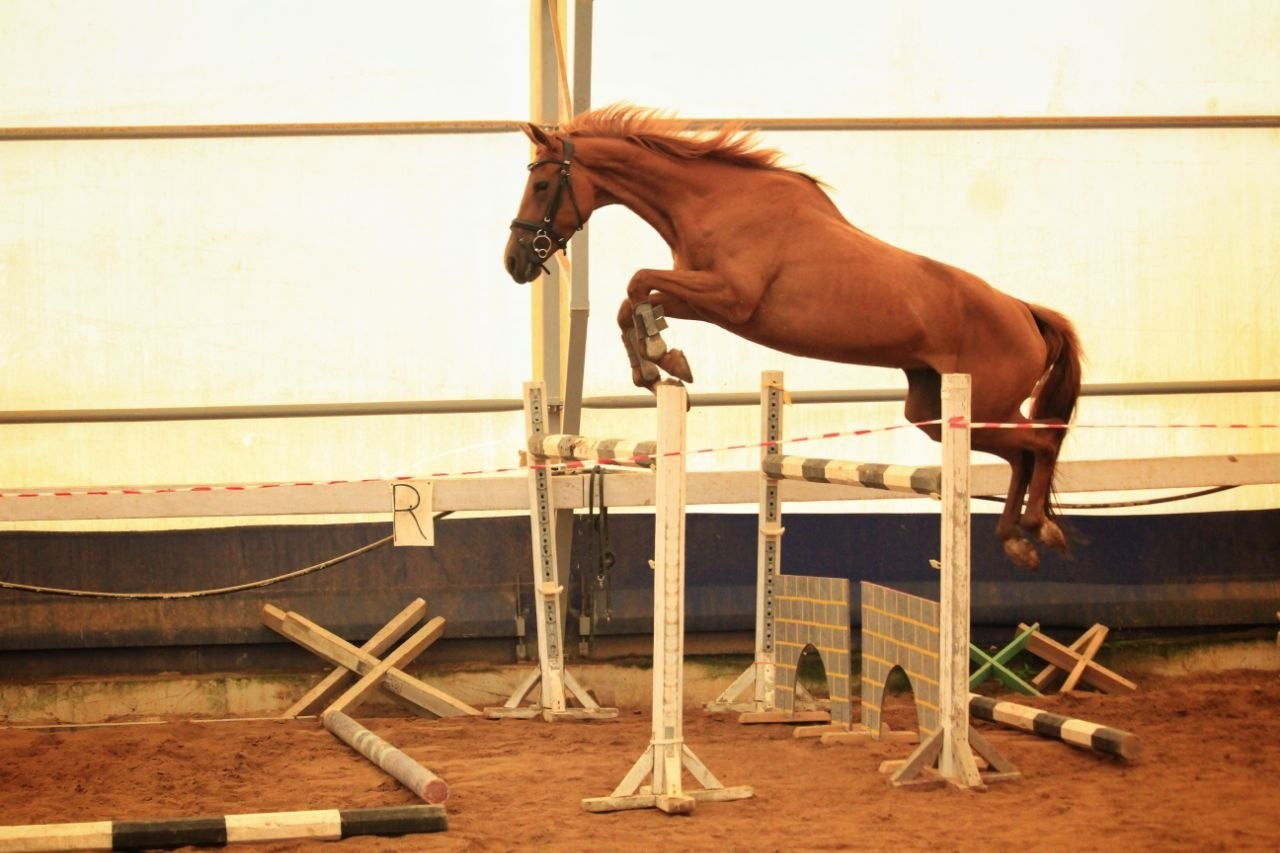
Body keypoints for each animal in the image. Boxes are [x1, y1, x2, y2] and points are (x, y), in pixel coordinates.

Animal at [503, 104, 1082, 570]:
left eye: (540, 185)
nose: (514, 262)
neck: (713, 200)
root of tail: (1025, 313)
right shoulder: (705, 298)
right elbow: (634, 299)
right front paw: (658, 367)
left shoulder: (730, 299)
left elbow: (636, 284)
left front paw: (663, 357)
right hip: (935, 413)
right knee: (1021, 453)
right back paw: (1016, 540)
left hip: (983, 404)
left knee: (1042, 440)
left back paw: (1039, 529)